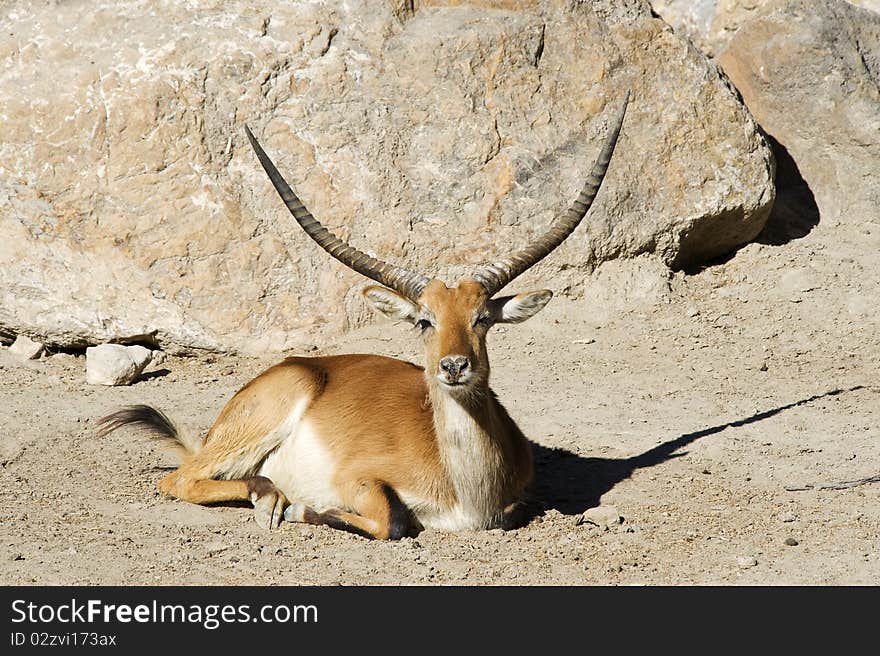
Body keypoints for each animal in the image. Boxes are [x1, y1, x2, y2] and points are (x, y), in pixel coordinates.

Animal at [99, 95, 628, 540]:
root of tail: (295, 367)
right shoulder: (358, 479)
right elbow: (391, 523)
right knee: (181, 480)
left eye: (482, 318)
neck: (468, 494)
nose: (454, 366)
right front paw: (303, 507)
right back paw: (272, 498)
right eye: (423, 321)